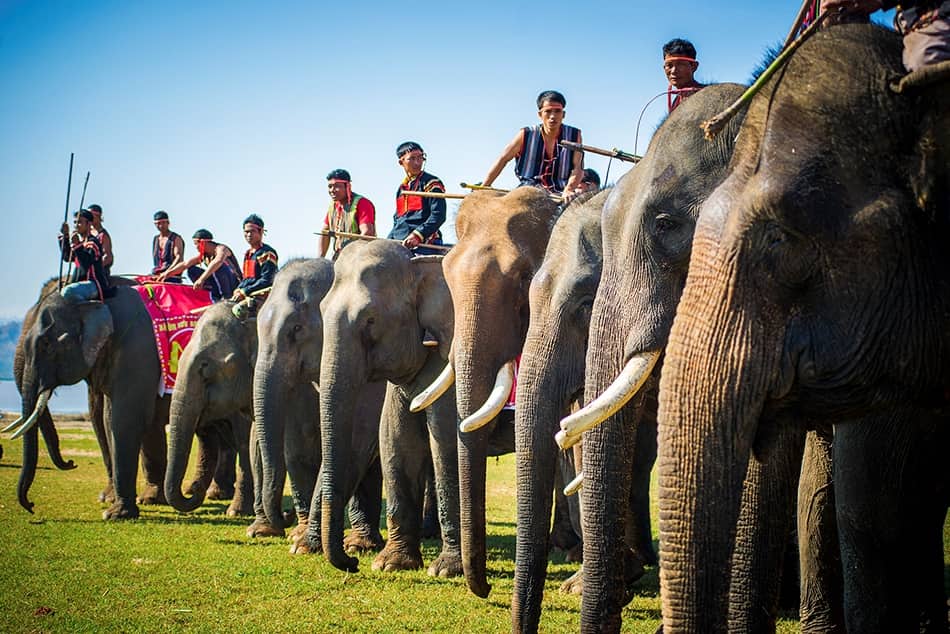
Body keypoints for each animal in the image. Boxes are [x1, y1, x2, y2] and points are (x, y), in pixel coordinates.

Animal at [13, 278, 170, 516]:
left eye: (47, 345)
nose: (31, 506)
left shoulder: (136, 351)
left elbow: (125, 419)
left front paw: (116, 514)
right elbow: (109, 419)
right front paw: (122, 504)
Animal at [320, 239, 464, 576]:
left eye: (370, 319)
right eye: (320, 311)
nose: (352, 564)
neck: (419, 264)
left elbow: (447, 444)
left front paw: (446, 569)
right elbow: (397, 442)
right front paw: (390, 564)